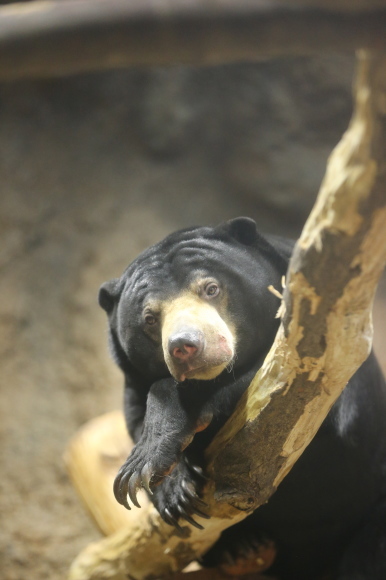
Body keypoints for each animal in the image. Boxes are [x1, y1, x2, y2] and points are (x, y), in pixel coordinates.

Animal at [98, 219, 386, 580]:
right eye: (149, 319)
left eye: (211, 289)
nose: (185, 347)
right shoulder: (133, 381)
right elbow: (137, 421)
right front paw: (166, 486)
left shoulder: (326, 341)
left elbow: (297, 388)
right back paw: (242, 548)